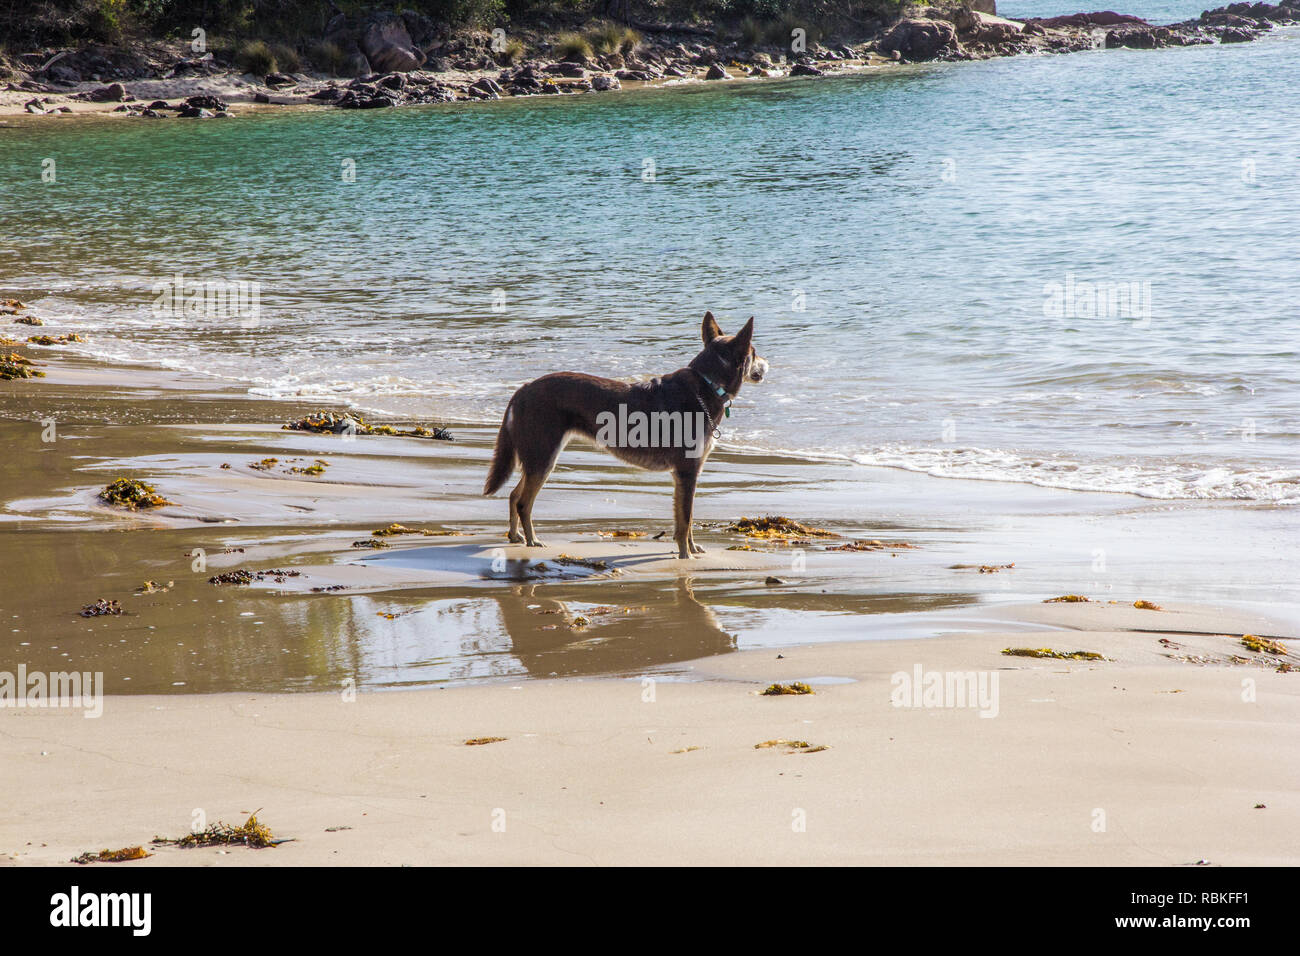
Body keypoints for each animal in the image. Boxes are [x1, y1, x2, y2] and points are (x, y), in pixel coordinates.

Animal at [488, 310, 769, 556]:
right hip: (543, 457)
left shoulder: (686, 476)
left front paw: (691, 549)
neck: (708, 384)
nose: (768, 364)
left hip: (537, 459)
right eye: (754, 353)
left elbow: (685, 520)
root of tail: (523, 389)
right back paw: (533, 540)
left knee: (514, 495)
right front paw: (684, 556)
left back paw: (515, 536)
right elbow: (685, 520)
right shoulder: (687, 472)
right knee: (523, 502)